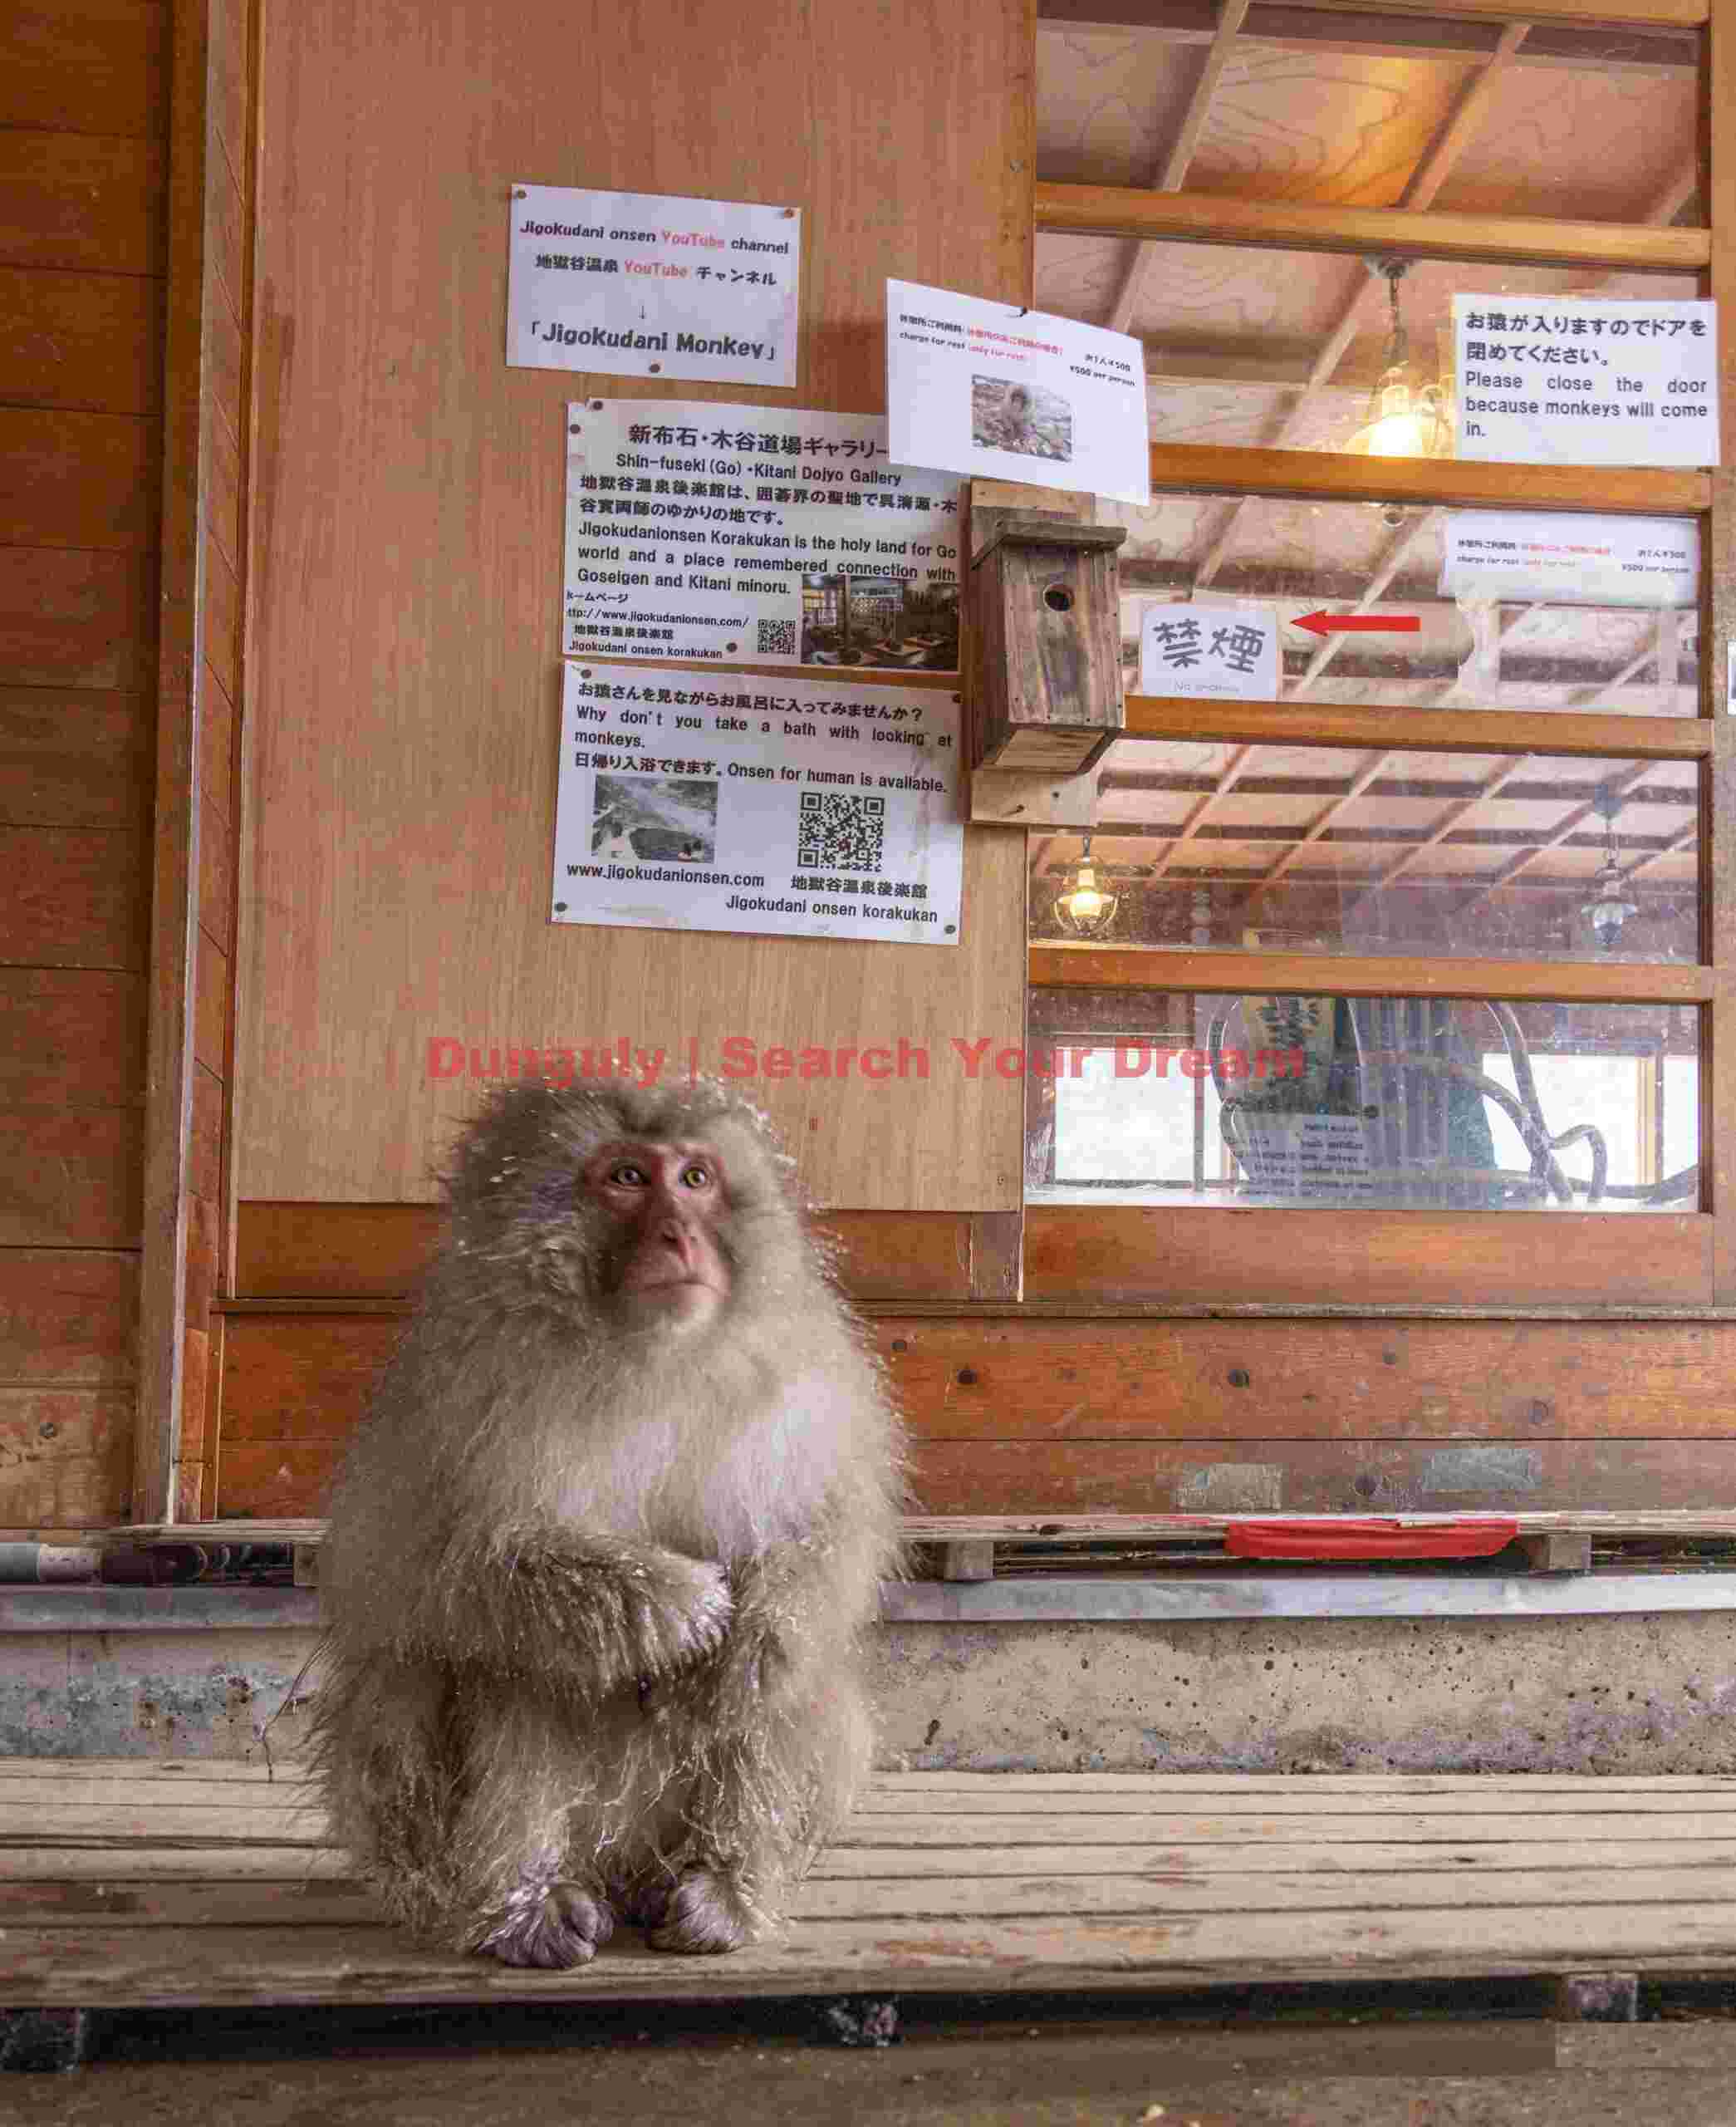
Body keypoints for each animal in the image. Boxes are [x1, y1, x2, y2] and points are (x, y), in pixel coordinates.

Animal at [311, 1079, 905, 1969]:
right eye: (627, 1177)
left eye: (695, 1178)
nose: (679, 1233)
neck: (648, 1357)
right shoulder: (459, 1392)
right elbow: (440, 1571)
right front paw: (681, 1607)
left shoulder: (808, 1377)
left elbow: (821, 1532)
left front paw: (750, 1637)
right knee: (498, 1663)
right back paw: (522, 1905)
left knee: (795, 1680)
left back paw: (722, 1890)